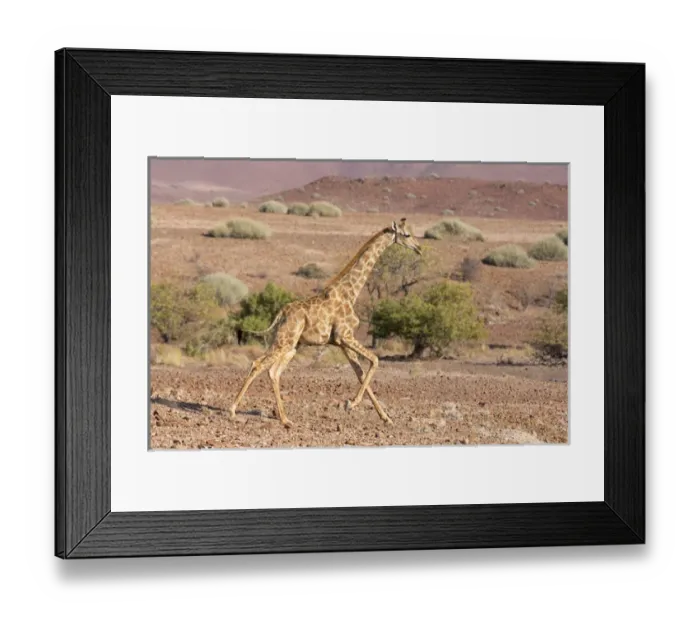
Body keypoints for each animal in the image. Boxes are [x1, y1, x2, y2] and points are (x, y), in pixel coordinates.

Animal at [229, 218, 423, 427]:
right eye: (407, 235)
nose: (419, 248)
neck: (350, 293)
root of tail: (282, 313)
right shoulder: (345, 336)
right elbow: (375, 360)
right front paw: (351, 403)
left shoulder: (342, 342)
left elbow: (360, 372)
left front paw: (385, 417)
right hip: (285, 341)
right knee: (258, 364)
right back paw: (233, 411)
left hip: (291, 345)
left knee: (273, 371)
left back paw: (285, 419)